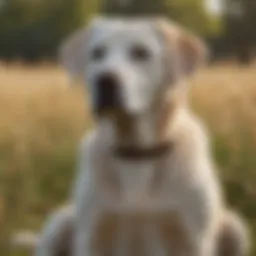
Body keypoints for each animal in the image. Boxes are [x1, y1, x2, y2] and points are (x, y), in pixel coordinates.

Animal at [32, 17, 250, 255]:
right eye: (97, 53)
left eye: (141, 53)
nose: (105, 80)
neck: (136, 152)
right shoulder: (93, 234)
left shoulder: (193, 238)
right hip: (60, 222)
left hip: (235, 227)